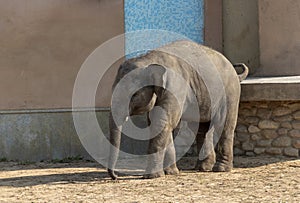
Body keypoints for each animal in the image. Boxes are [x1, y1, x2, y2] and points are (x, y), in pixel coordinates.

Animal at [108, 39, 248, 179]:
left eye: (134, 95)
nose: (116, 177)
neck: (148, 60)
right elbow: (161, 124)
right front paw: (171, 172)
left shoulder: (175, 87)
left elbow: (162, 122)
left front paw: (153, 176)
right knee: (200, 129)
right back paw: (203, 167)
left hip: (230, 93)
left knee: (224, 125)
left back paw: (221, 169)